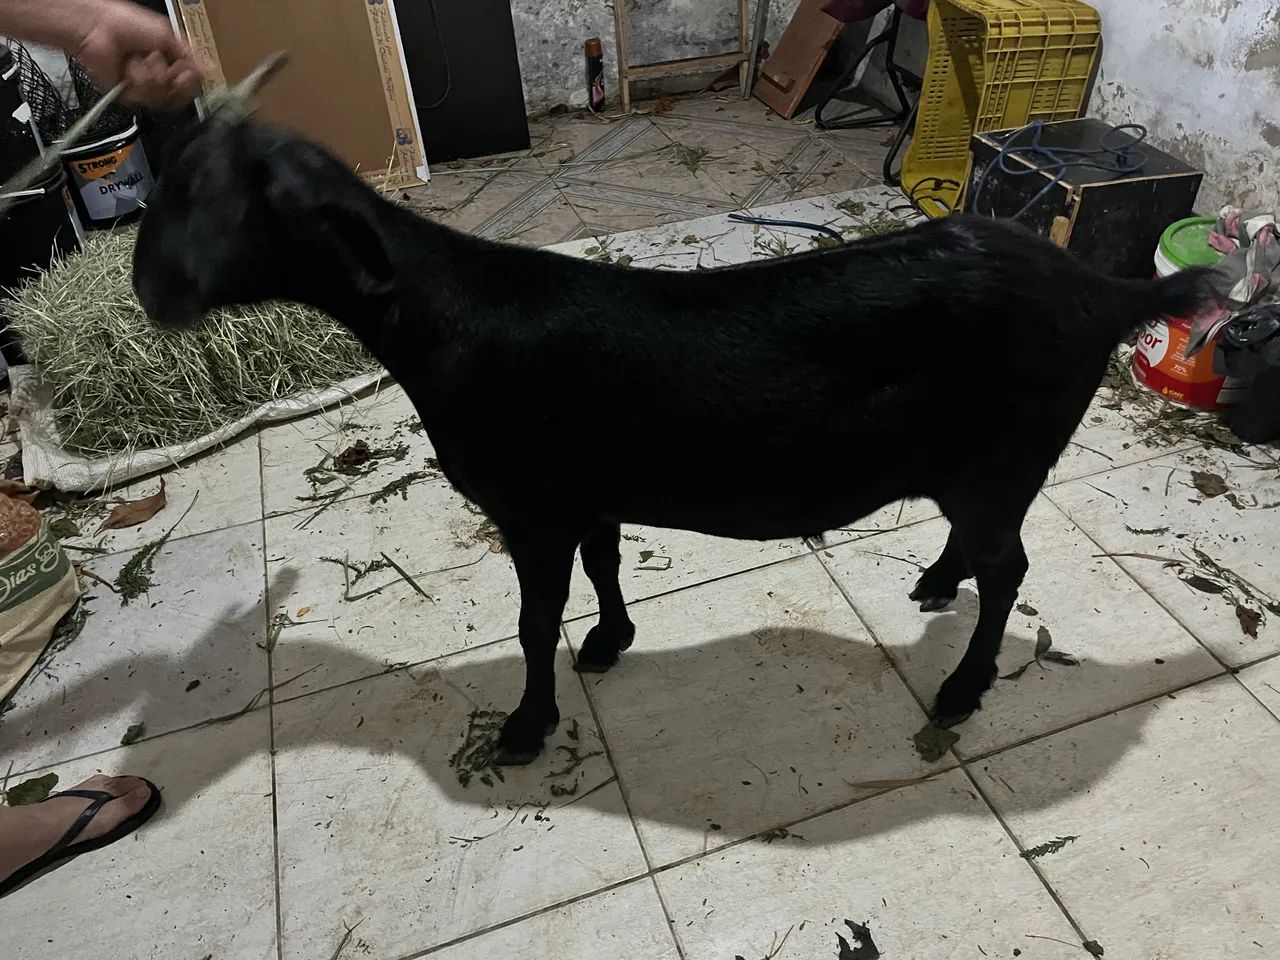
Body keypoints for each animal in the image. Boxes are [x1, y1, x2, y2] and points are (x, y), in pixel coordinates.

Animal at [132, 117, 1214, 765]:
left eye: (231, 203)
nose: (149, 289)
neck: (438, 313)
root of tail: (1104, 290)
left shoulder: (531, 502)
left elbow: (533, 620)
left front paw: (526, 727)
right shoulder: (591, 488)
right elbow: (606, 566)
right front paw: (610, 641)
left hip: (1004, 455)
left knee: (1011, 568)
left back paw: (960, 687)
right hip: (977, 465)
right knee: (985, 552)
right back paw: (935, 584)